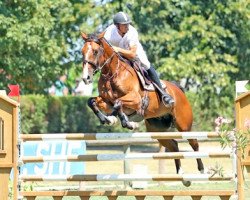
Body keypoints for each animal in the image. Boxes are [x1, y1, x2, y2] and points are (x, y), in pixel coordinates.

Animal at [81, 32, 205, 187]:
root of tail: (178, 90)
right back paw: (182, 176)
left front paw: (125, 122)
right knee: (173, 146)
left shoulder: (136, 100)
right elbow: (92, 102)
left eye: (96, 51)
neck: (113, 73)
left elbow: (118, 103)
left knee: (194, 143)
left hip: (184, 125)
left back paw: (202, 170)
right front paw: (109, 120)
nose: (85, 78)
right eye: (82, 52)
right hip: (157, 130)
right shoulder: (106, 101)